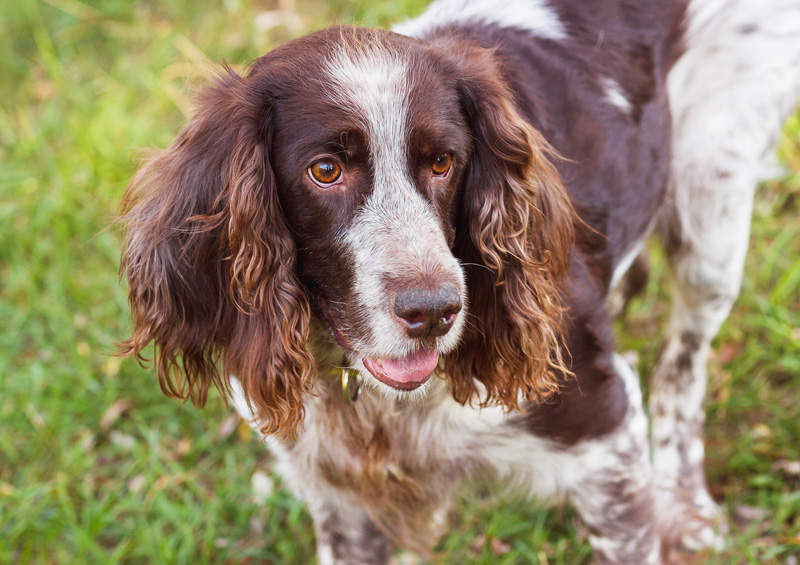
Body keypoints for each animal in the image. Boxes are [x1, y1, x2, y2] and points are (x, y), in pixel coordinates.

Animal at [119, 2, 800, 560]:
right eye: (325, 170)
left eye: (444, 161)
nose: (435, 311)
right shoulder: (342, 494)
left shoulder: (608, 439)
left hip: (710, 208)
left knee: (683, 366)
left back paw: (686, 503)